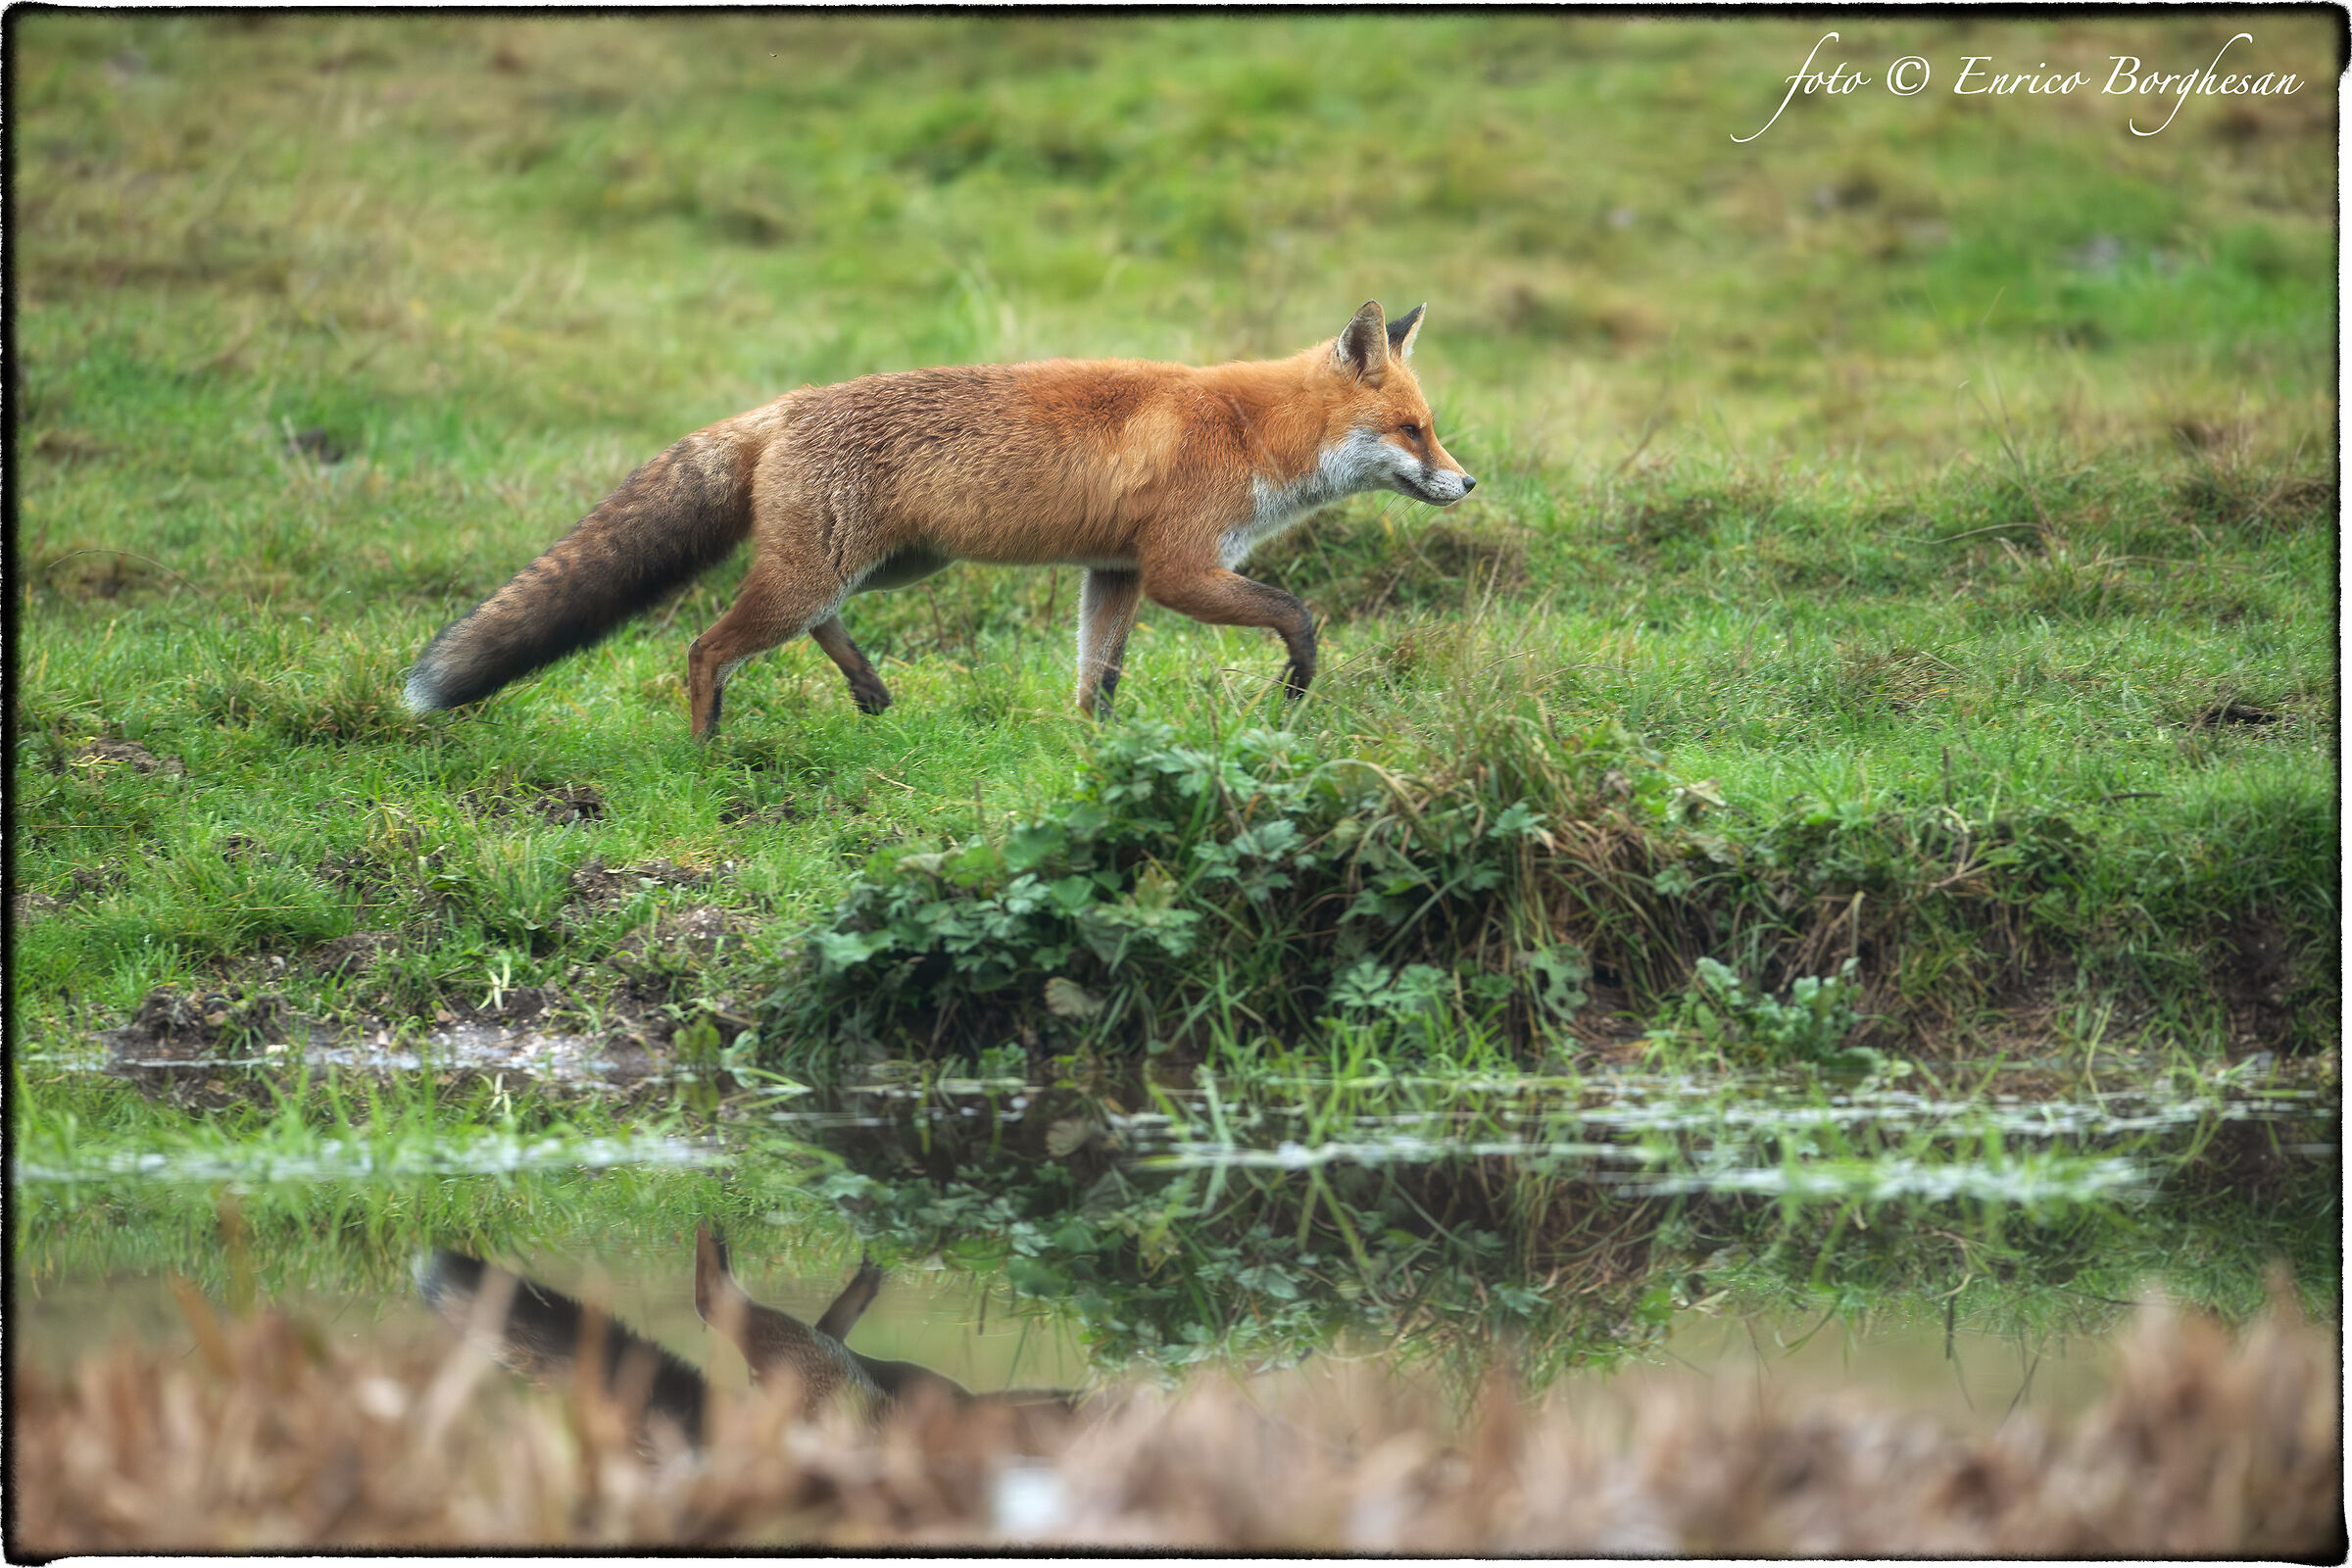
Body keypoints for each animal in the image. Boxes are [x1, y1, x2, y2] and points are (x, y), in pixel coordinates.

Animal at [403, 300, 1476, 737]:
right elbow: (1299, 614)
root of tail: (785, 407)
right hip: (820, 573)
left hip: (888, 567)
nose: (1467, 484)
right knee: (708, 647)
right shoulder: (1181, 568)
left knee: (815, 627)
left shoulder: (1119, 572)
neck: (1250, 430)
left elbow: (1098, 677)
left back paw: (871, 694)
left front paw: (1092, 747)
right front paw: (1293, 690)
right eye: (1413, 430)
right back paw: (707, 748)